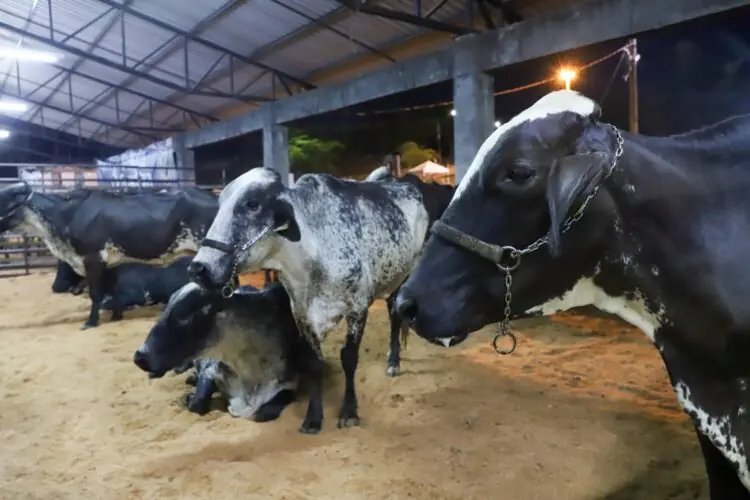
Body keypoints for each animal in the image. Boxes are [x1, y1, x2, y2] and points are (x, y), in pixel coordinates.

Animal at [0, 184, 218, 329]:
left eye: (4, 196)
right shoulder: (111, 264)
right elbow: (114, 292)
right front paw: (116, 317)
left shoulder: (92, 259)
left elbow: (96, 294)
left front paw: (90, 322)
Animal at [133, 282, 317, 422]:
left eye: (184, 315)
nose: (139, 356)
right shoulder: (211, 369)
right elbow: (197, 404)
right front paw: (190, 397)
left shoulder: (288, 385)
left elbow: (261, 413)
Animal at [187, 167, 430, 434]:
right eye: (220, 202)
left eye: (252, 204)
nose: (199, 268)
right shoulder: (302, 315)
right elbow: (314, 363)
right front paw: (313, 418)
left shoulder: (357, 307)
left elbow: (349, 358)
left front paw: (349, 411)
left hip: (406, 273)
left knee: (395, 314)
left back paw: (393, 362)